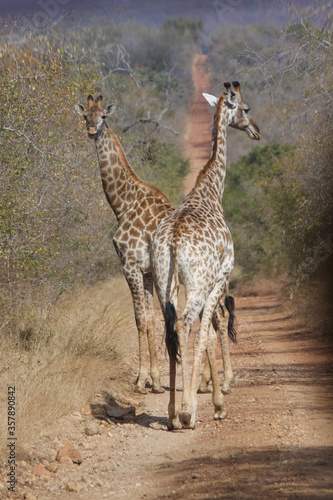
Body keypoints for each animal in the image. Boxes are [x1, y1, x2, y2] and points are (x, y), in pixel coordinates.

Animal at [75, 95, 174, 394]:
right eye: (85, 116)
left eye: (103, 117)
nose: (92, 130)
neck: (122, 204)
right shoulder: (147, 271)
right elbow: (151, 319)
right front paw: (155, 381)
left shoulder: (129, 265)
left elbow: (140, 318)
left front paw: (141, 381)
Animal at [150, 82, 260, 430]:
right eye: (246, 109)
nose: (256, 131)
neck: (210, 191)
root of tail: (172, 239)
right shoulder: (220, 278)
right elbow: (208, 334)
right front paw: (216, 404)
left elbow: (207, 334)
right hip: (196, 284)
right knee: (184, 324)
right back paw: (187, 413)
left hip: (164, 283)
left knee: (170, 327)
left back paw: (172, 414)